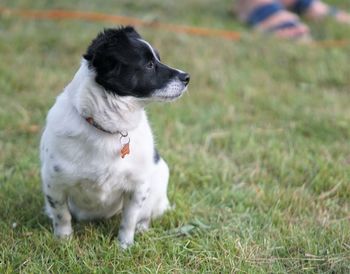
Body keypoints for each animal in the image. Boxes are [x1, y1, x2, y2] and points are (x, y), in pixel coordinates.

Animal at [39, 26, 190, 248]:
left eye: (158, 59)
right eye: (149, 65)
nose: (187, 77)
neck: (108, 129)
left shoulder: (138, 187)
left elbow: (129, 219)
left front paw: (125, 246)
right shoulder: (54, 183)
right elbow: (62, 216)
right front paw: (64, 241)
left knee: (145, 214)